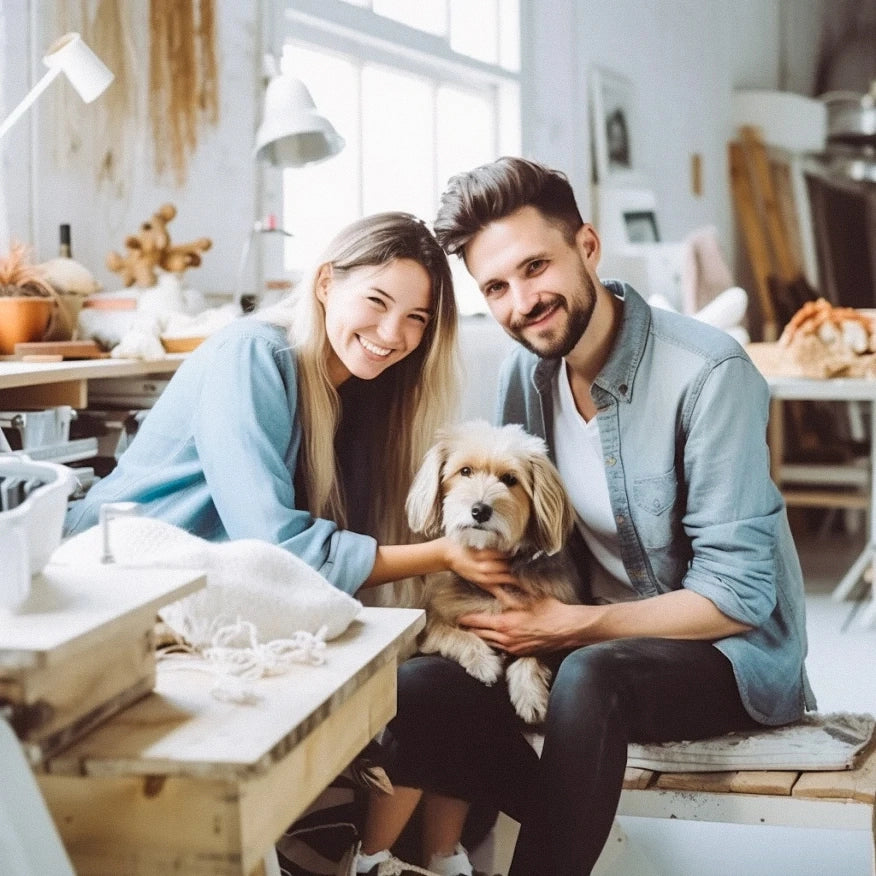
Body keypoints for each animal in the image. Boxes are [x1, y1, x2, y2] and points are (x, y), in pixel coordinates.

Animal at [406, 420, 580, 724]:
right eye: (465, 471)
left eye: (510, 479)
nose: (480, 510)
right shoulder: (431, 623)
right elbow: (454, 634)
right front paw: (483, 662)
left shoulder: (554, 631)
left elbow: (533, 654)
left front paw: (530, 693)